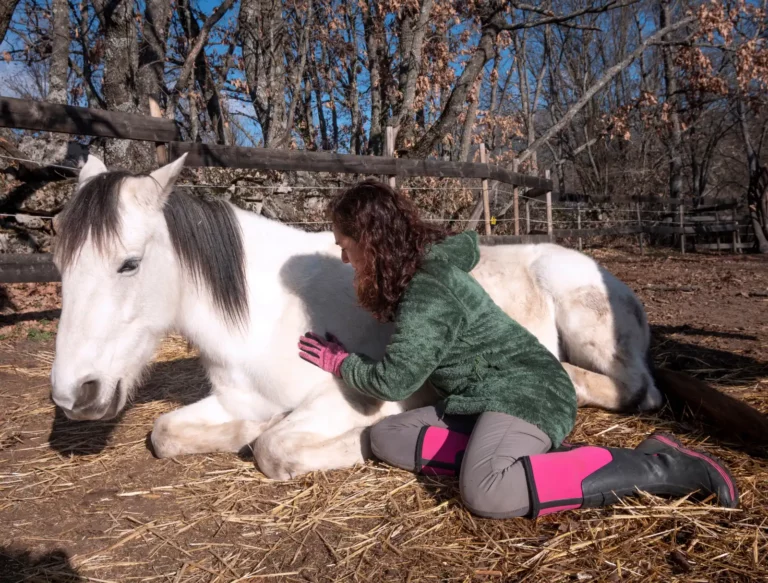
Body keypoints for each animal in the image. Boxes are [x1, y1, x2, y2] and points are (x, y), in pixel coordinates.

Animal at [51, 155, 664, 480]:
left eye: (129, 263)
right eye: (60, 264)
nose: (73, 394)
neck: (265, 317)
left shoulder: (349, 395)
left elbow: (276, 448)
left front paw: (355, 439)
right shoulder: (233, 399)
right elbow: (164, 433)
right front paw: (242, 431)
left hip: (587, 320)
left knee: (635, 386)